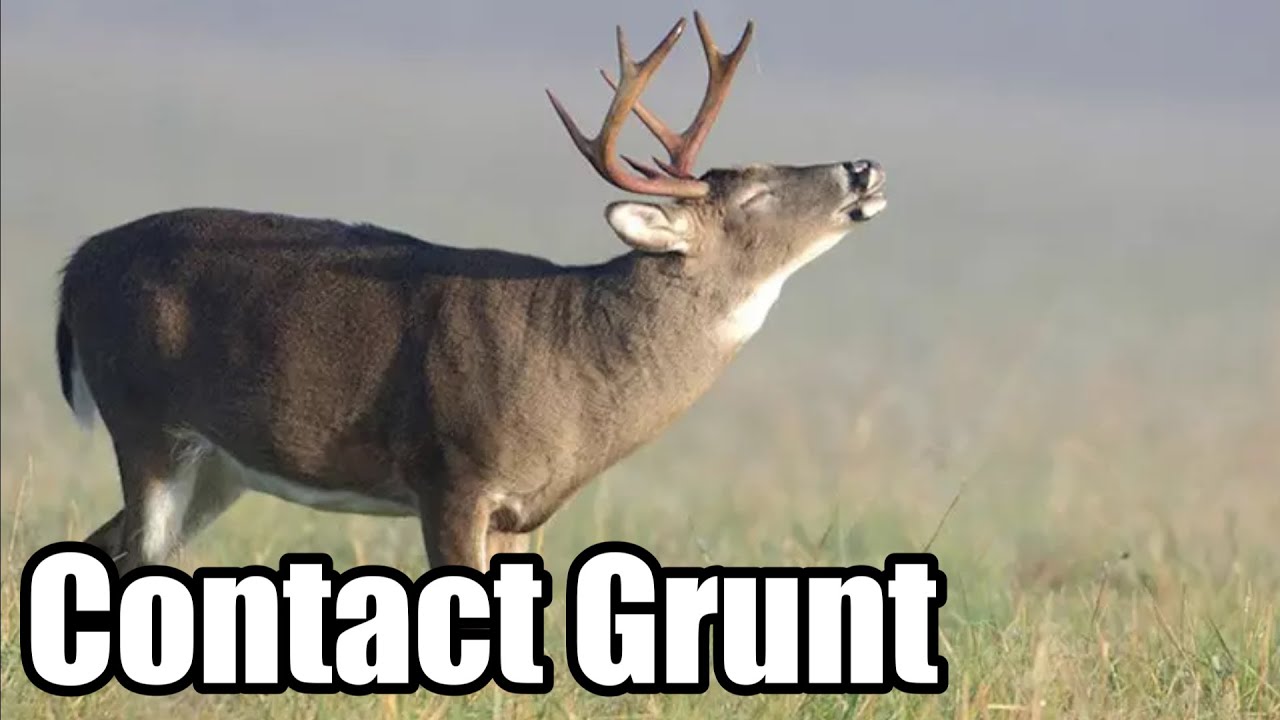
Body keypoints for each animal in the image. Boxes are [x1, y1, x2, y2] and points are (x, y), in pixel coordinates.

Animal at [54, 12, 886, 573]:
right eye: (754, 194)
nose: (864, 168)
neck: (577, 358)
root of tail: (75, 267)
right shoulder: (452, 472)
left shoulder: (522, 508)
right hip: (146, 422)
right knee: (139, 552)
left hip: (218, 465)